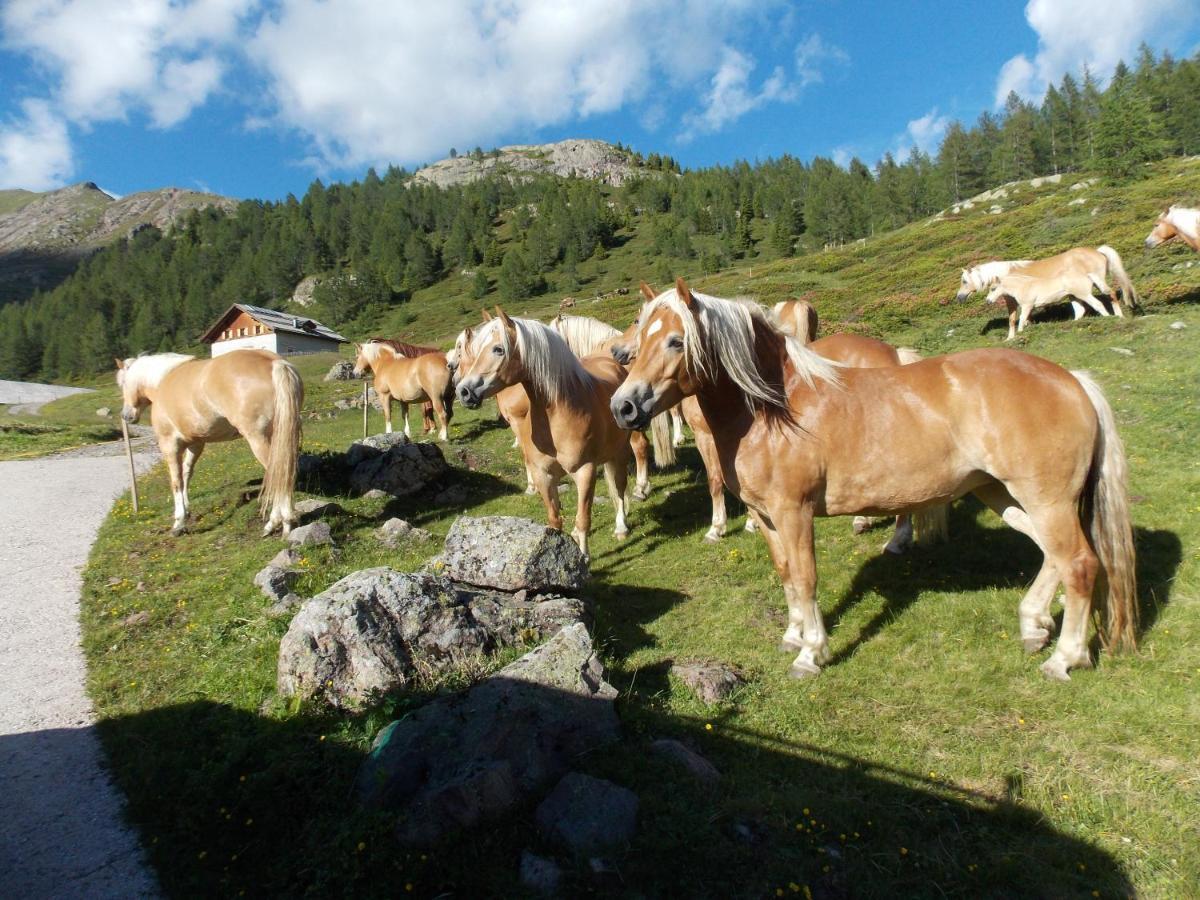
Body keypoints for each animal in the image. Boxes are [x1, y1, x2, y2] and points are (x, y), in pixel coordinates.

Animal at [115, 350, 304, 535]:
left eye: (122, 383)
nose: (126, 416)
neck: (163, 381)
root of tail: (273, 362)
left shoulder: (169, 445)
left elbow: (176, 481)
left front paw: (179, 522)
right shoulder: (196, 444)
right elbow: (187, 473)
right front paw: (187, 509)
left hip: (259, 439)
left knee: (277, 474)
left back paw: (278, 522)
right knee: (284, 473)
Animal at [453, 307, 652, 556]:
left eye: (498, 349)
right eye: (476, 348)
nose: (463, 391)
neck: (557, 415)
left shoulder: (584, 472)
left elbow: (583, 519)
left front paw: (583, 558)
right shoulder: (544, 476)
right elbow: (554, 521)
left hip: (620, 450)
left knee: (620, 484)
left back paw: (622, 526)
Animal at [614, 280, 1137, 681]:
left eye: (675, 341)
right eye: (641, 335)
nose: (624, 406)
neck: (776, 407)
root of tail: (1071, 380)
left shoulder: (794, 512)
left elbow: (805, 577)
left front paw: (812, 652)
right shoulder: (765, 516)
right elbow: (785, 576)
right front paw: (792, 635)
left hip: (1046, 500)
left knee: (1080, 563)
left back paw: (1064, 658)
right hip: (1002, 493)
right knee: (1053, 554)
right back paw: (1034, 625)